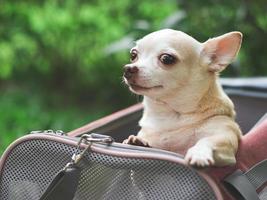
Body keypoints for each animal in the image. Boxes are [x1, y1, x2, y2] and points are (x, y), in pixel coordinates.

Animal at [123, 28, 243, 166]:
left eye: (166, 58)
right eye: (133, 55)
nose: (128, 69)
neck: (169, 115)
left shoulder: (225, 136)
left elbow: (207, 140)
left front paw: (199, 153)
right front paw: (137, 141)